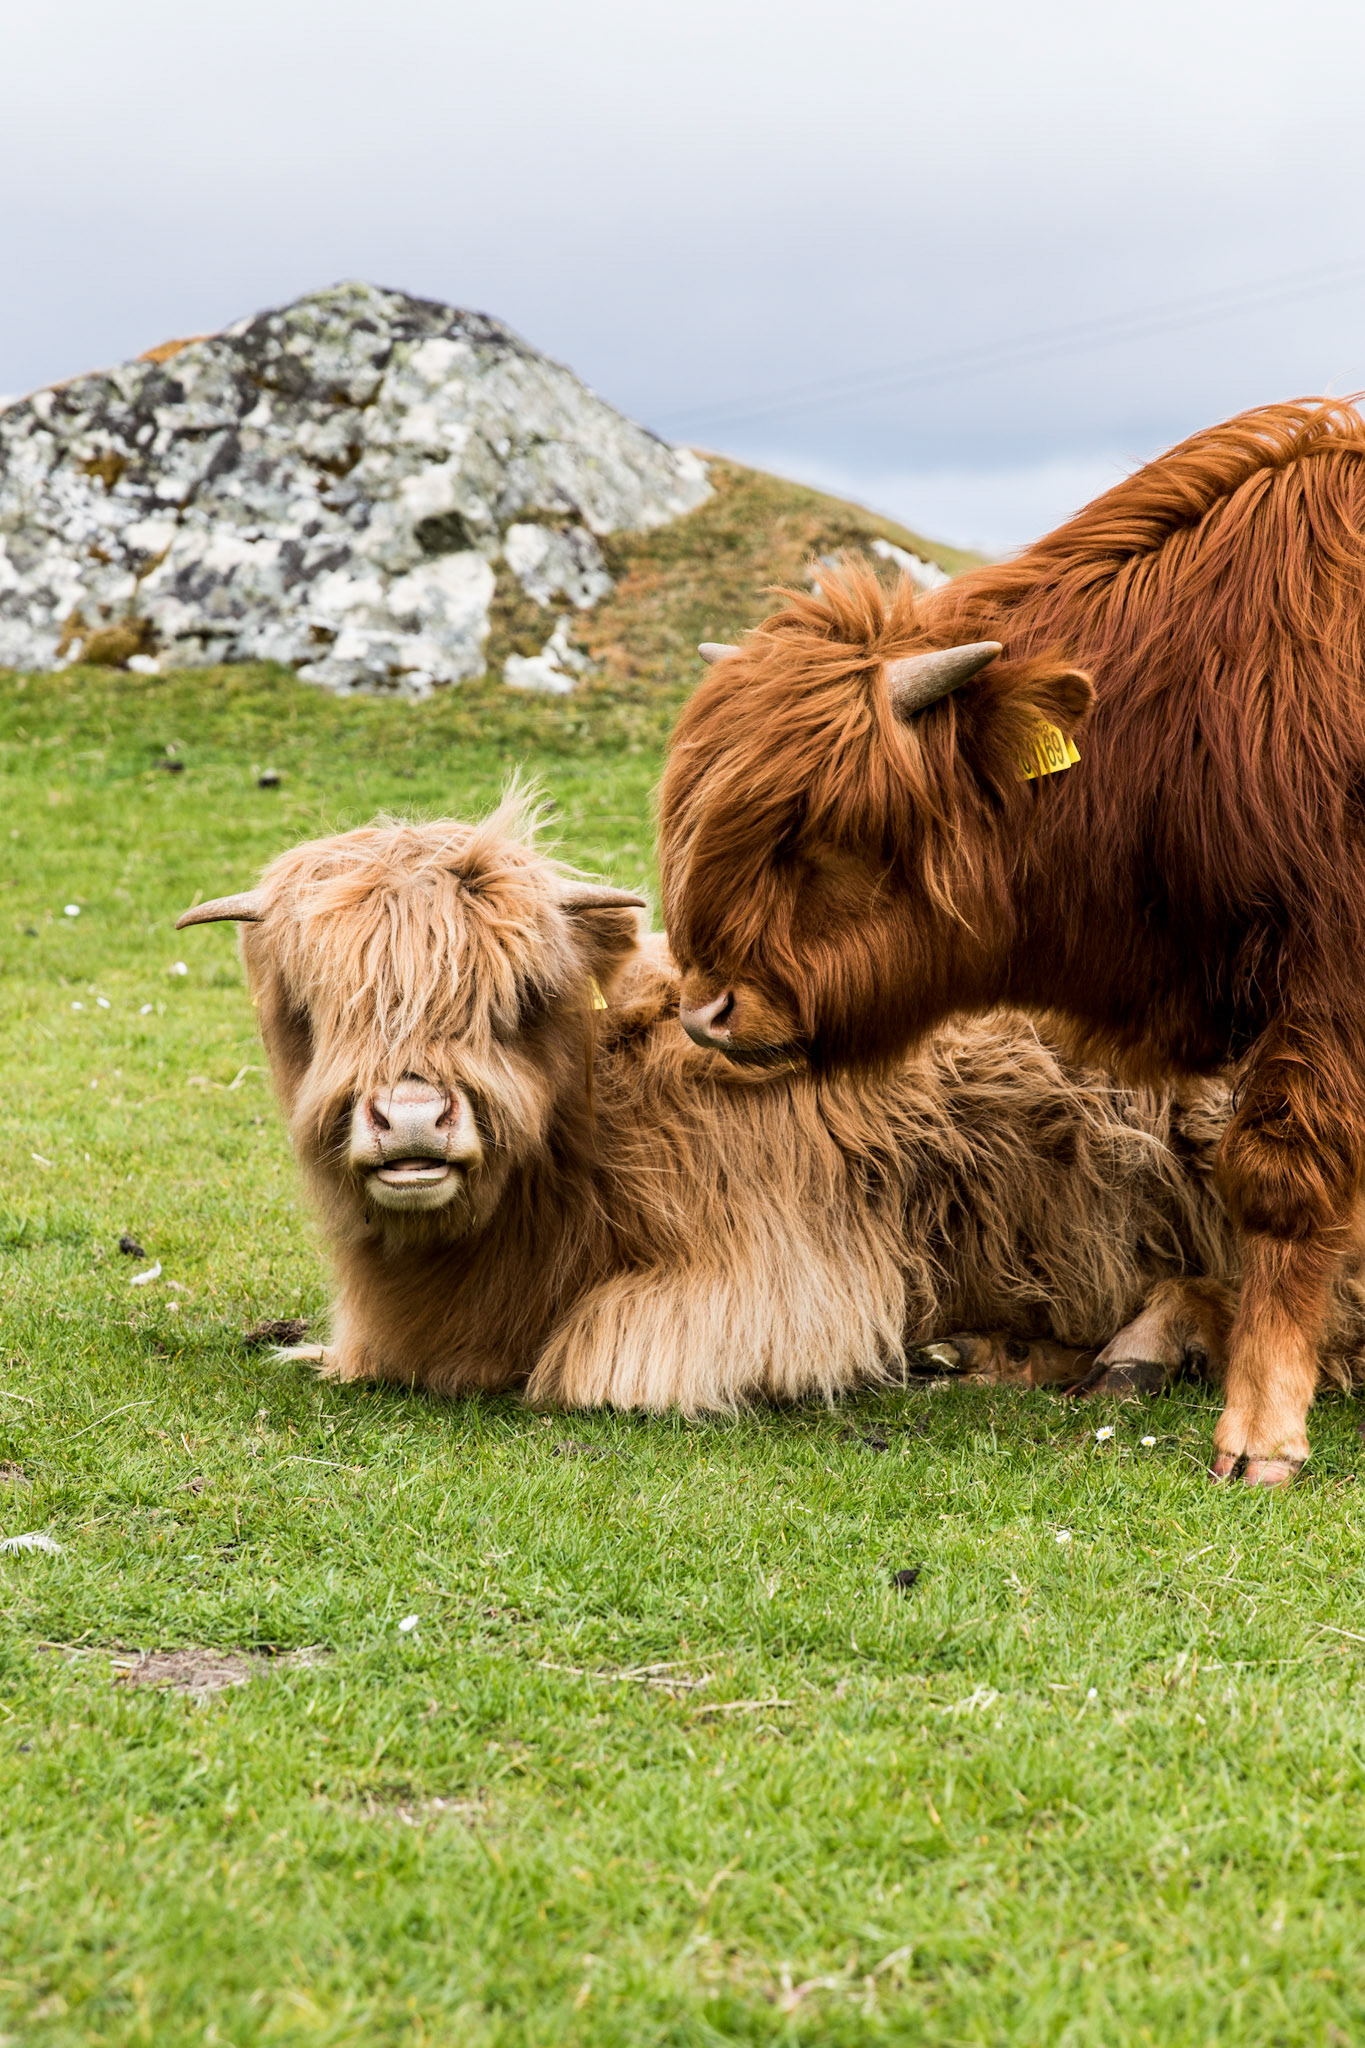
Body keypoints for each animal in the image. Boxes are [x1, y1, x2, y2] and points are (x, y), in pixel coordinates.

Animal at [177, 804, 1365, 1412]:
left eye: (516, 999)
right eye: (312, 1006)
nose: (415, 1120)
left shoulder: (790, 1281)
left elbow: (598, 1363)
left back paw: (1144, 1347)